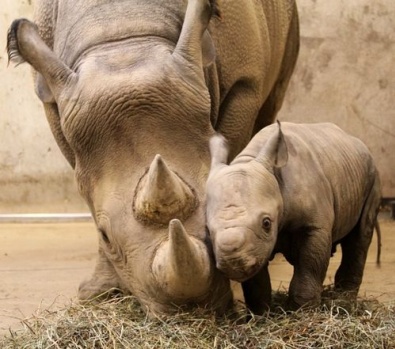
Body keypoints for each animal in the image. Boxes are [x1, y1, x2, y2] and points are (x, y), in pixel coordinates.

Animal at [6, 0, 300, 314]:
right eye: (105, 235)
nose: (190, 309)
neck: (123, 34)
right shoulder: (54, 102)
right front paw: (100, 293)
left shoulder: (244, 84)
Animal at [209, 121, 382, 312]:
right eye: (208, 230)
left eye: (266, 223)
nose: (232, 262)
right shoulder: (256, 246)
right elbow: (256, 280)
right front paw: (260, 313)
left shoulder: (314, 226)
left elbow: (309, 266)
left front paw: (302, 311)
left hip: (372, 174)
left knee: (360, 236)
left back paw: (344, 301)